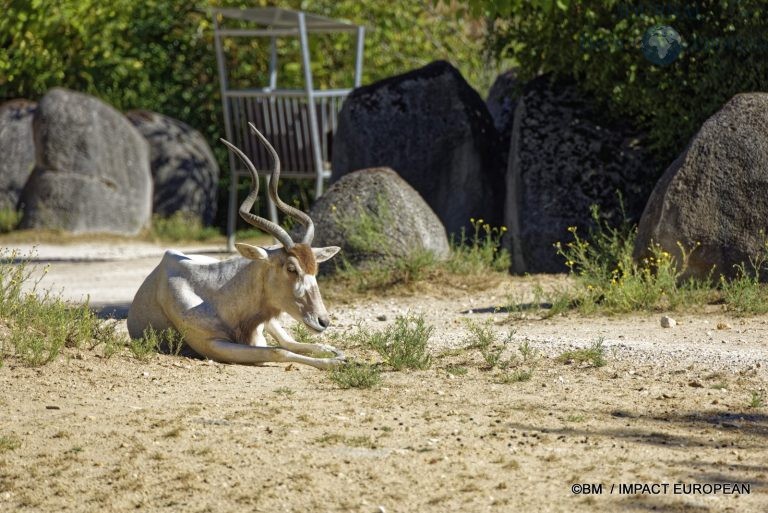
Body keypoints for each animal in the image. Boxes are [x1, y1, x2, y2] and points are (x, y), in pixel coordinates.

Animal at [127, 126, 344, 370]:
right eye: (291, 268)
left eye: (315, 268)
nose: (323, 321)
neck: (216, 293)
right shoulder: (215, 346)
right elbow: (278, 351)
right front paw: (333, 363)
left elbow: (284, 346)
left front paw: (335, 357)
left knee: (291, 341)